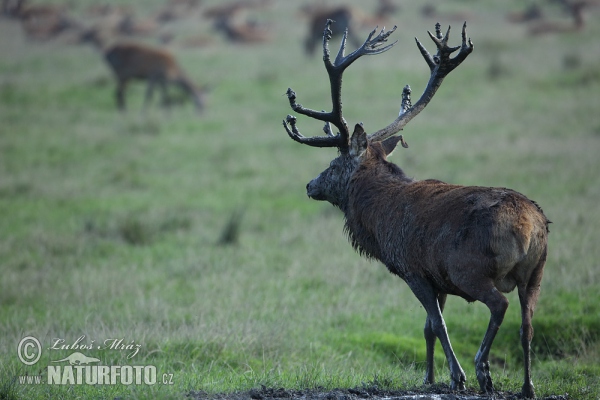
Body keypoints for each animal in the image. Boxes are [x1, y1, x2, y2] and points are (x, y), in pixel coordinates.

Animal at [284, 21, 552, 400]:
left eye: (333, 164)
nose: (310, 185)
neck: (378, 222)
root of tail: (530, 226)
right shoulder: (438, 279)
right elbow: (427, 327)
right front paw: (428, 377)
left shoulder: (414, 269)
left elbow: (437, 323)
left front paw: (455, 377)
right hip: (537, 272)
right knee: (528, 323)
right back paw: (527, 386)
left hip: (471, 269)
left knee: (500, 305)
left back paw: (482, 370)